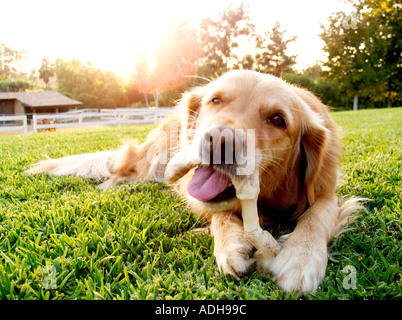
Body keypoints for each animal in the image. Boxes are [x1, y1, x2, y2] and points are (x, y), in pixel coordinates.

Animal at [29, 70, 362, 298]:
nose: (220, 142)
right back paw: (111, 184)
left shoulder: (325, 191)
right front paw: (230, 244)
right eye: (216, 100)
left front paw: (300, 257)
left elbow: (316, 216)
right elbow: (219, 214)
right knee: (127, 166)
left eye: (278, 119)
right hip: (158, 154)